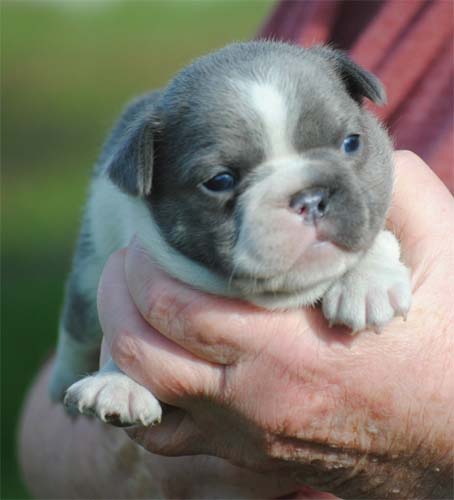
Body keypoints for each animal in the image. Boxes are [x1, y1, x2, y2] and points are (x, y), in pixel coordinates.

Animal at [49, 41, 411, 427]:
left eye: (351, 143)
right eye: (220, 181)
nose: (309, 198)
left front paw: (366, 282)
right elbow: (129, 340)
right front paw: (118, 382)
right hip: (91, 261)